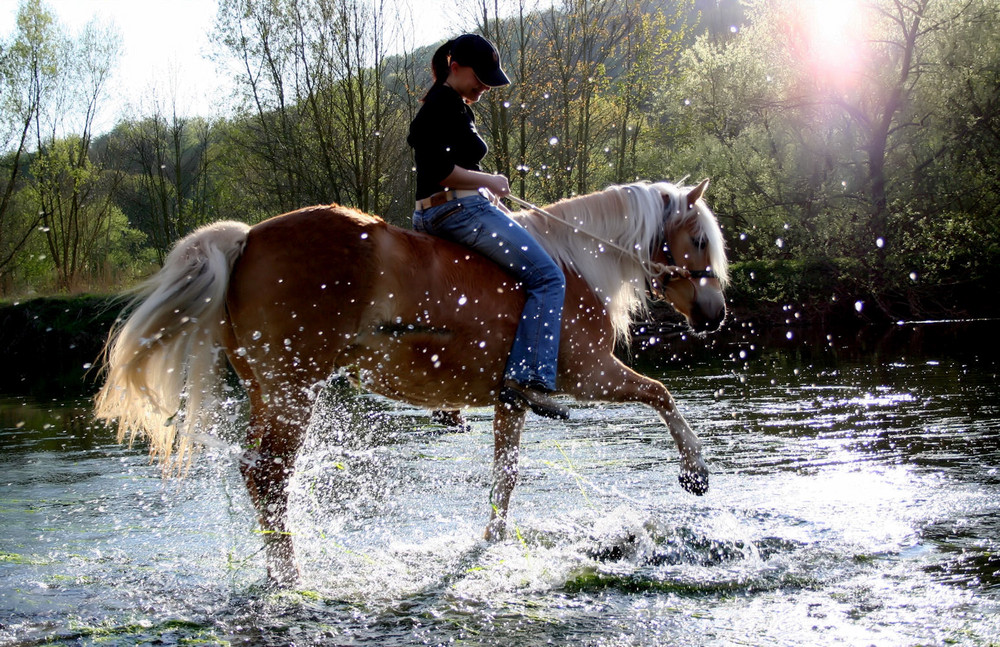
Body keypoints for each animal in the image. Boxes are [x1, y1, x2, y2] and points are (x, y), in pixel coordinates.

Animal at [94, 178, 728, 588]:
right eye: (699, 240)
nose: (715, 313)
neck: (575, 265)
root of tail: (247, 237)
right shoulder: (594, 374)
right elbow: (662, 394)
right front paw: (695, 471)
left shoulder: (513, 399)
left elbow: (504, 476)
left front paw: (492, 542)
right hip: (293, 387)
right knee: (269, 474)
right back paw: (291, 576)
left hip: (267, 389)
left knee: (260, 473)